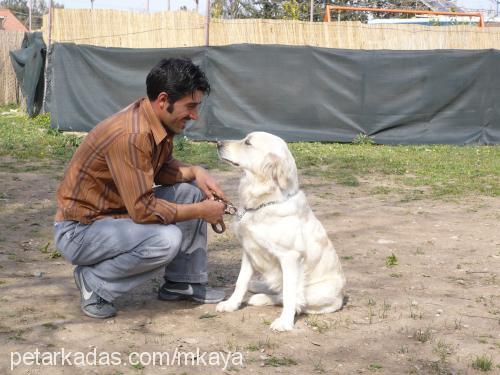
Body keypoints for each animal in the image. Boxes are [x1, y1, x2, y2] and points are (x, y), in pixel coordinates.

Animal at [217, 132, 346, 332]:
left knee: (293, 299)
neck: (263, 203)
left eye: (248, 143)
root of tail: (341, 298)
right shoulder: (248, 250)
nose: (217, 143)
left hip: (320, 291)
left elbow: (289, 293)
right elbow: (241, 281)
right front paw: (231, 304)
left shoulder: (290, 257)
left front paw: (285, 322)